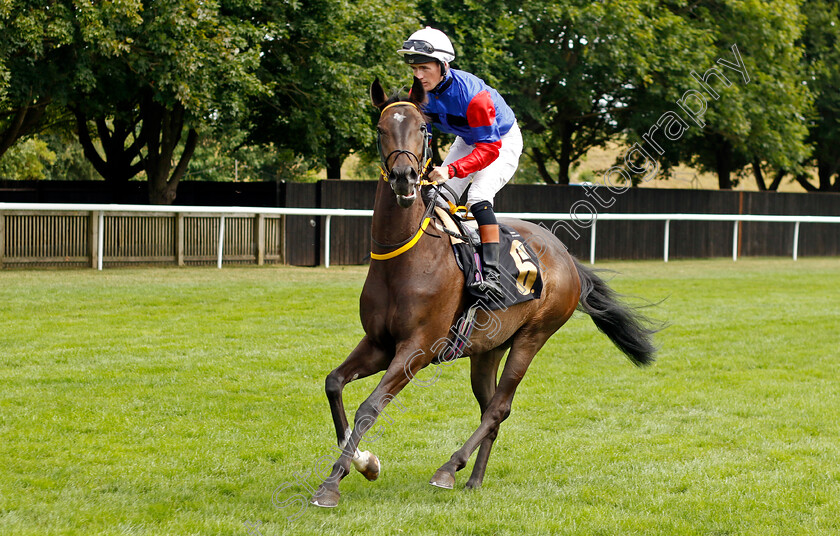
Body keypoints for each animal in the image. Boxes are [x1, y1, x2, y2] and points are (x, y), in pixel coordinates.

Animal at [308, 76, 656, 506]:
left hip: (532, 337)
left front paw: (336, 482)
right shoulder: (379, 343)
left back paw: (448, 469)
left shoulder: (417, 349)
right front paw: (362, 463)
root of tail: (566, 257)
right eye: (380, 128)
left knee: (499, 408)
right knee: (491, 407)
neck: (404, 257)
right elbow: (334, 384)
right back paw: (473, 478)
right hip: (488, 348)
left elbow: (370, 407)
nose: (405, 178)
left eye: (422, 128)